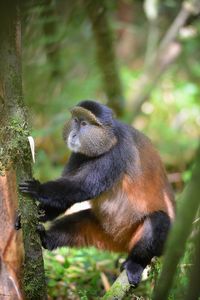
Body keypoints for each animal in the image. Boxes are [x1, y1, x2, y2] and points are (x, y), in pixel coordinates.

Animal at [18, 100, 175, 286]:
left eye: (84, 124)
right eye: (76, 121)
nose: (73, 135)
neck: (108, 139)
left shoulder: (116, 153)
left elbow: (85, 187)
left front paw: (38, 189)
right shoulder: (77, 155)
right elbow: (65, 200)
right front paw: (30, 216)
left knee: (158, 220)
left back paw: (135, 264)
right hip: (103, 232)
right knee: (79, 221)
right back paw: (46, 238)